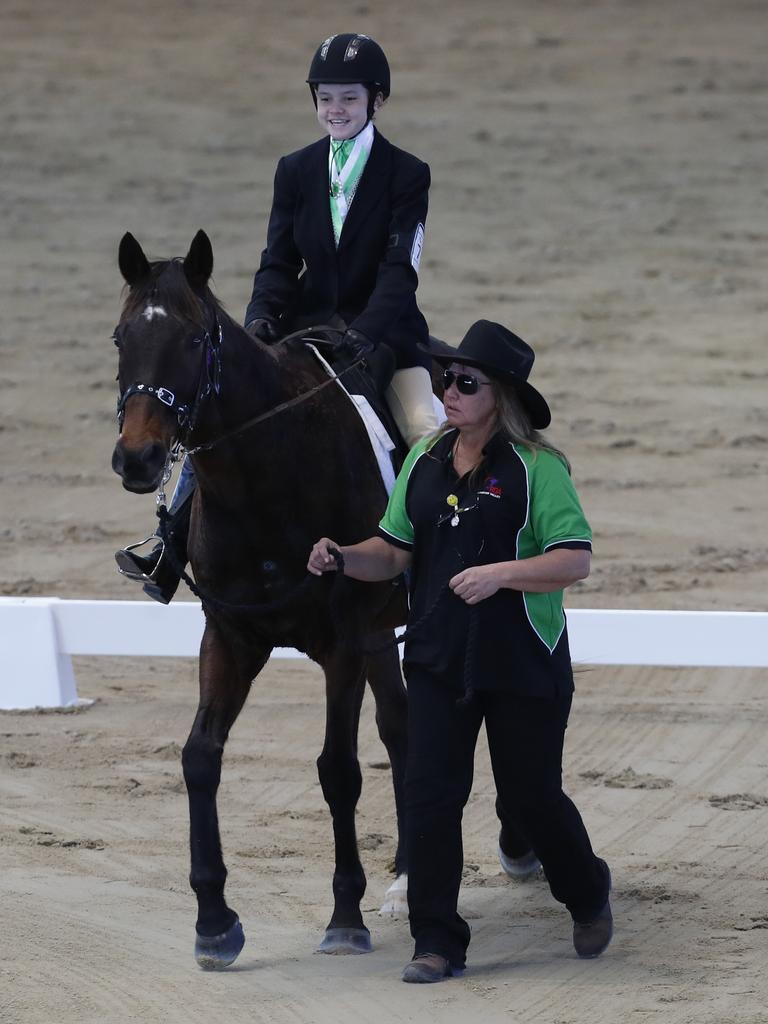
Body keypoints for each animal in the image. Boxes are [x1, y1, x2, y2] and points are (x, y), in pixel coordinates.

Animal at [112, 230, 411, 966]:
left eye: (194, 340)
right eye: (120, 338)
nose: (137, 459)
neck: (267, 473)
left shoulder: (343, 643)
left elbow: (338, 769)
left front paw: (345, 916)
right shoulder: (230, 636)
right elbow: (199, 757)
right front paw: (214, 922)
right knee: (403, 728)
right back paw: (406, 879)